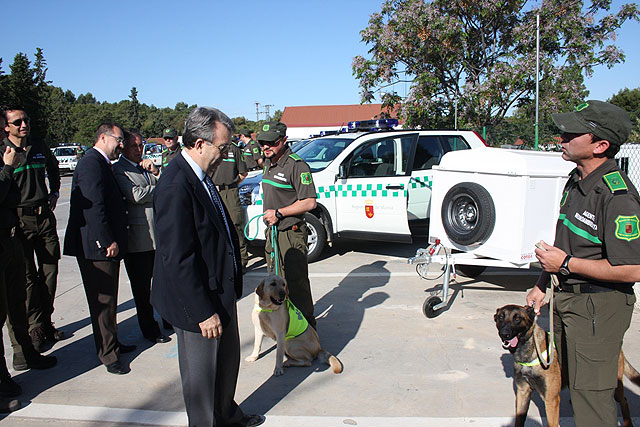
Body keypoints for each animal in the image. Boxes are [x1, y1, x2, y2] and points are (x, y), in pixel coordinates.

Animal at [496, 306, 640, 426]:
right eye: (501, 317)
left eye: (517, 318)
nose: (504, 334)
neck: (530, 351)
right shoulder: (523, 392)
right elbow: (519, 420)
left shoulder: (551, 400)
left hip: (615, 387)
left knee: (624, 400)